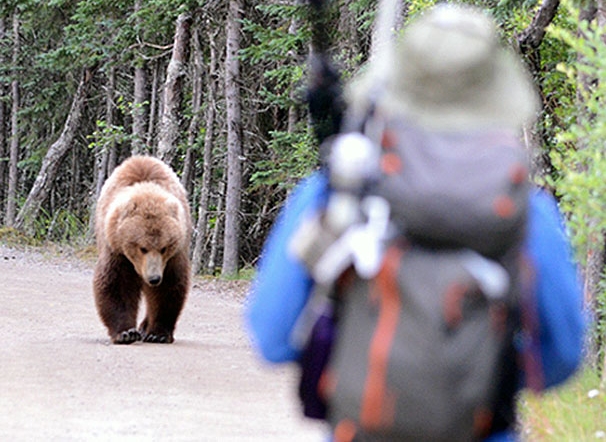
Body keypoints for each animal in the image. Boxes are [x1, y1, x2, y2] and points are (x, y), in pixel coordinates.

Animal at [94, 155, 192, 346]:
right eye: (142, 248)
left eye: (164, 247)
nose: (154, 278)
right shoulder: (116, 250)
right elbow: (117, 284)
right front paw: (125, 333)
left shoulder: (172, 257)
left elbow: (168, 287)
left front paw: (158, 333)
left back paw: (145, 327)